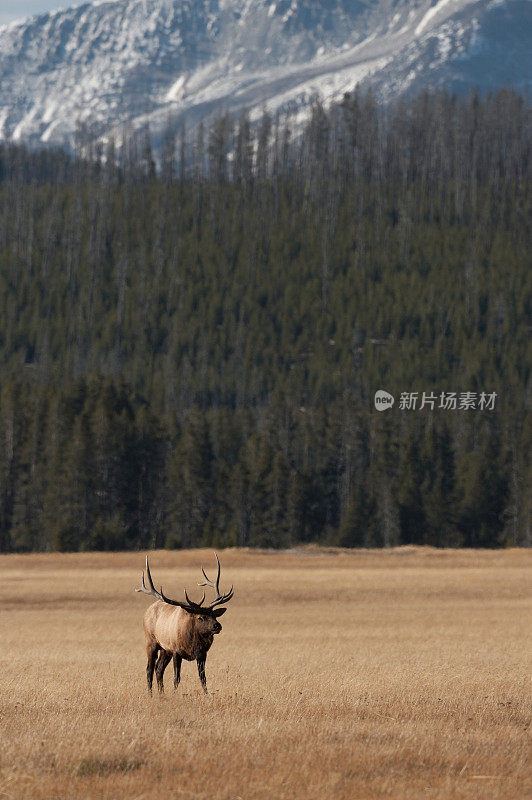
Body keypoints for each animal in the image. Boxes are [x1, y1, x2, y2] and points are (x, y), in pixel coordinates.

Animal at [134, 556, 232, 692]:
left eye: (214, 615)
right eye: (200, 618)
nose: (217, 626)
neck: (192, 644)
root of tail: (147, 611)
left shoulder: (202, 654)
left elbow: (203, 678)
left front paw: (207, 694)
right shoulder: (176, 651)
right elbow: (176, 678)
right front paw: (175, 693)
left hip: (165, 650)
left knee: (158, 668)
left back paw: (162, 694)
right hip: (151, 642)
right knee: (149, 669)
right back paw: (150, 694)